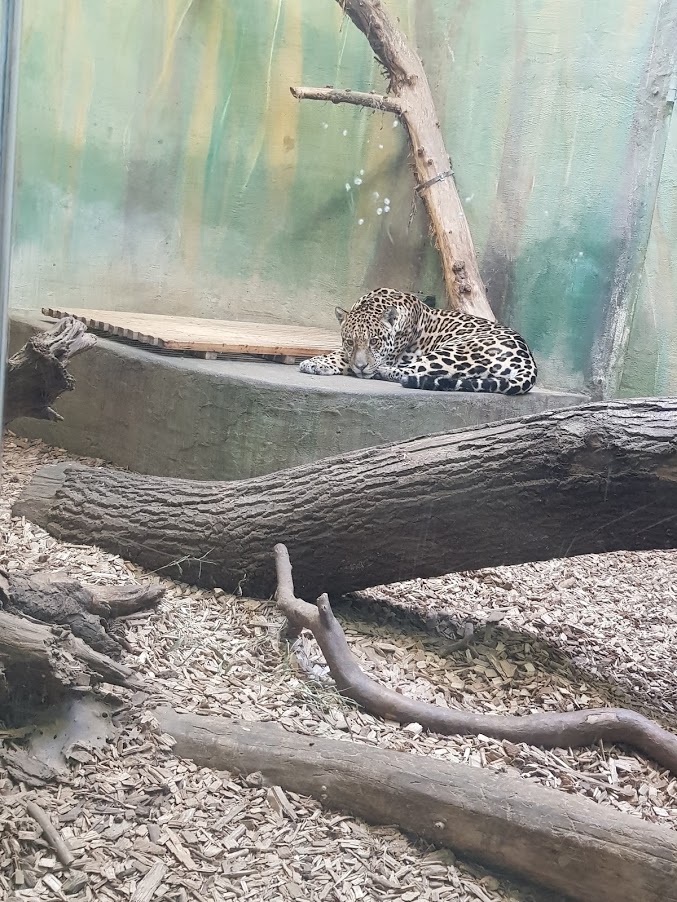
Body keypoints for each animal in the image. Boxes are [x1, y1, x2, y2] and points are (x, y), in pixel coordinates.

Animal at [299, 288, 537, 395]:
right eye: (350, 342)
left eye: (374, 341)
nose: (361, 367)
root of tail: (528, 360)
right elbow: (341, 354)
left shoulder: (389, 356)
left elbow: (342, 359)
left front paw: (315, 363)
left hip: (456, 350)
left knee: (413, 369)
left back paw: (383, 372)